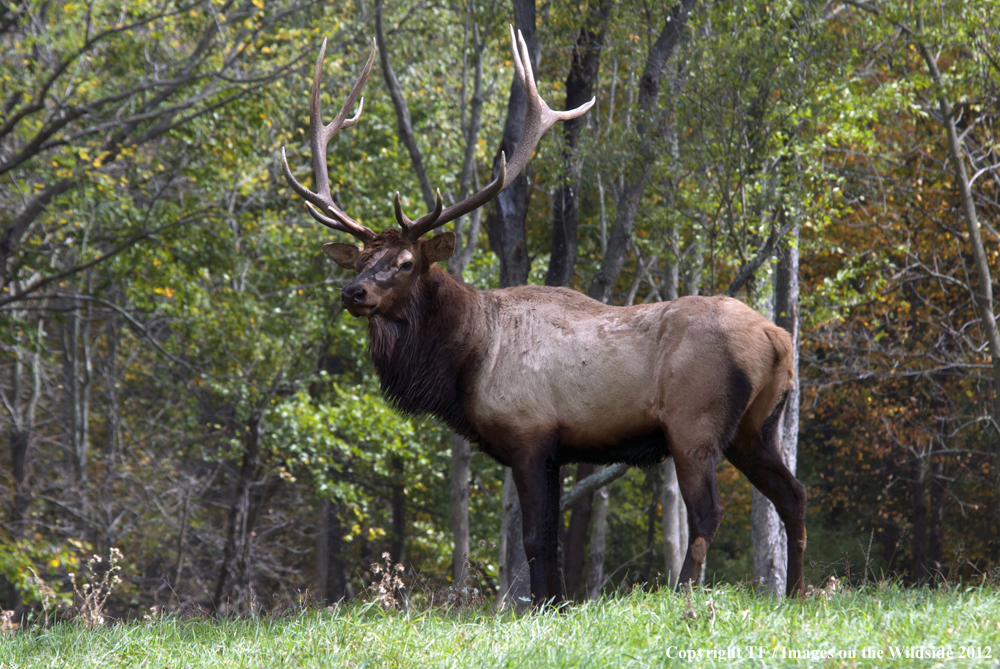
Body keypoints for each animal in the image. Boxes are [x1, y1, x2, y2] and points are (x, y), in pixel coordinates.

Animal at [280, 27, 804, 600]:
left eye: (404, 262)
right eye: (360, 259)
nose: (353, 293)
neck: (465, 362)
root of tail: (778, 338)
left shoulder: (529, 435)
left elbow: (533, 540)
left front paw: (538, 605)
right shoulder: (554, 450)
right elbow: (549, 542)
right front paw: (556, 604)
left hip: (696, 423)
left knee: (709, 512)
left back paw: (683, 593)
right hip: (758, 425)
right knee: (793, 495)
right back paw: (797, 593)